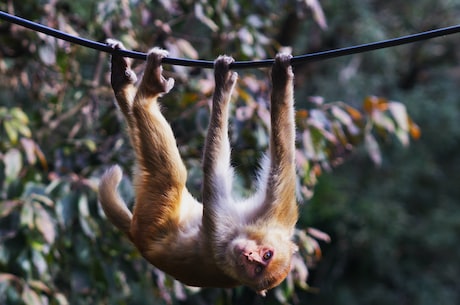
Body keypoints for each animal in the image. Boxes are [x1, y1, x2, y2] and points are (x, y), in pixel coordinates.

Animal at [98, 39, 296, 294]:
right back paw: (122, 82)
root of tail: (134, 236)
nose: (249, 256)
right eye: (266, 255)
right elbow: (283, 162)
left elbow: (213, 176)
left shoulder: (221, 240)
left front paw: (222, 85)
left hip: (149, 217)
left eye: (259, 267)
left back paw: (147, 93)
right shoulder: (277, 217)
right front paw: (282, 79)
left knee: (170, 174)